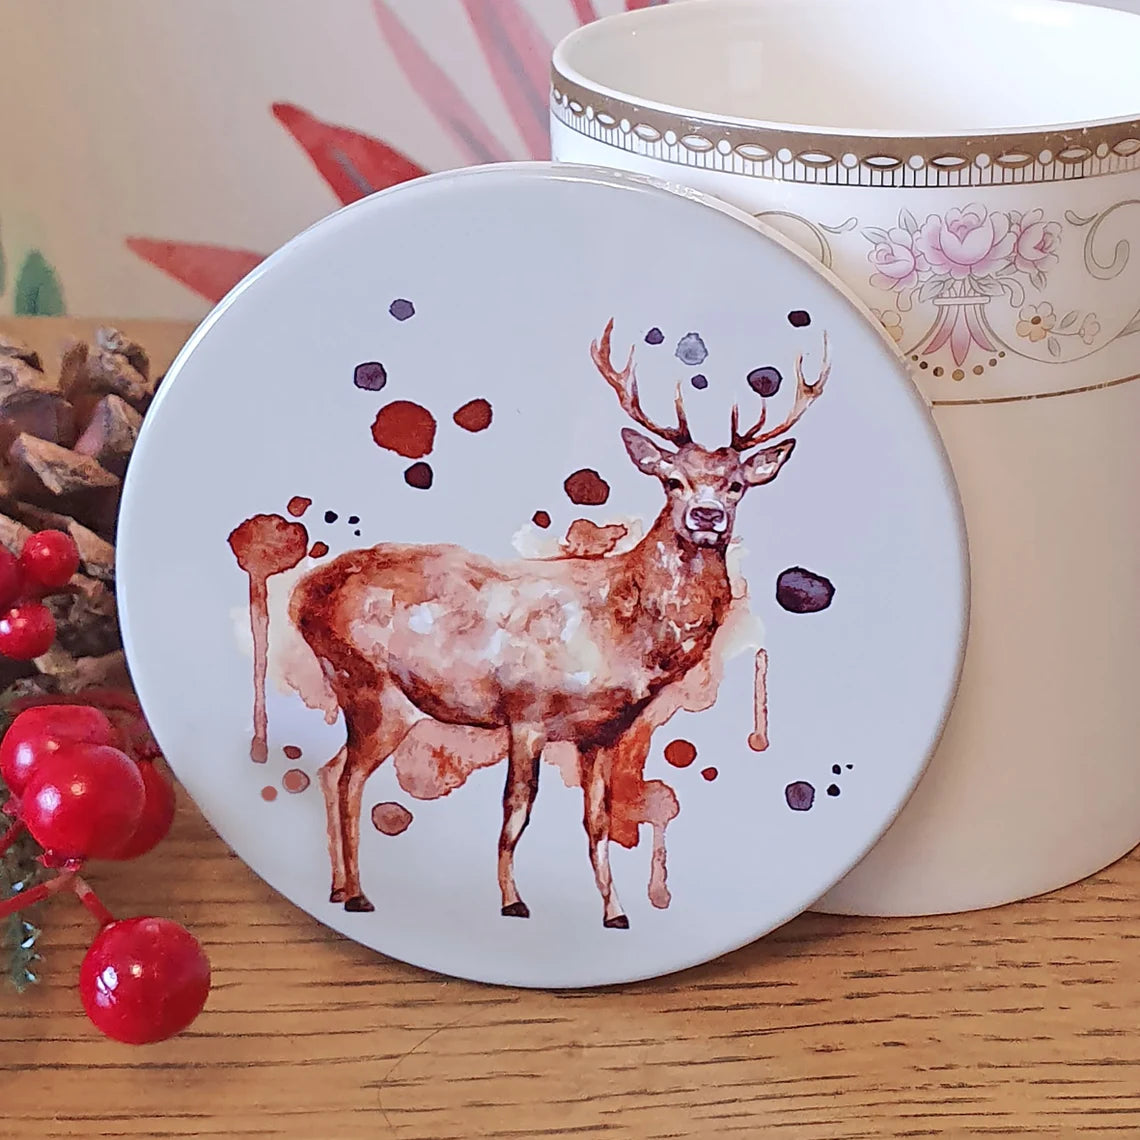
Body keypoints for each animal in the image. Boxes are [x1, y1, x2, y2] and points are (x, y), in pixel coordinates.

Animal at [288, 319, 830, 927]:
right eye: (672, 480)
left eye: (737, 484)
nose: (707, 516)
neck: (620, 636)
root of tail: (304, 593)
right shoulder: (526, 709)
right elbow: (516, 810)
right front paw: (513, 900)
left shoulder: (602, 733)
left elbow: (597, 821)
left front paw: (616, 913)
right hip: (371, 686)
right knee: (347, 778)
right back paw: (358, 893)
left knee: (330, 770)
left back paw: (338, 888)